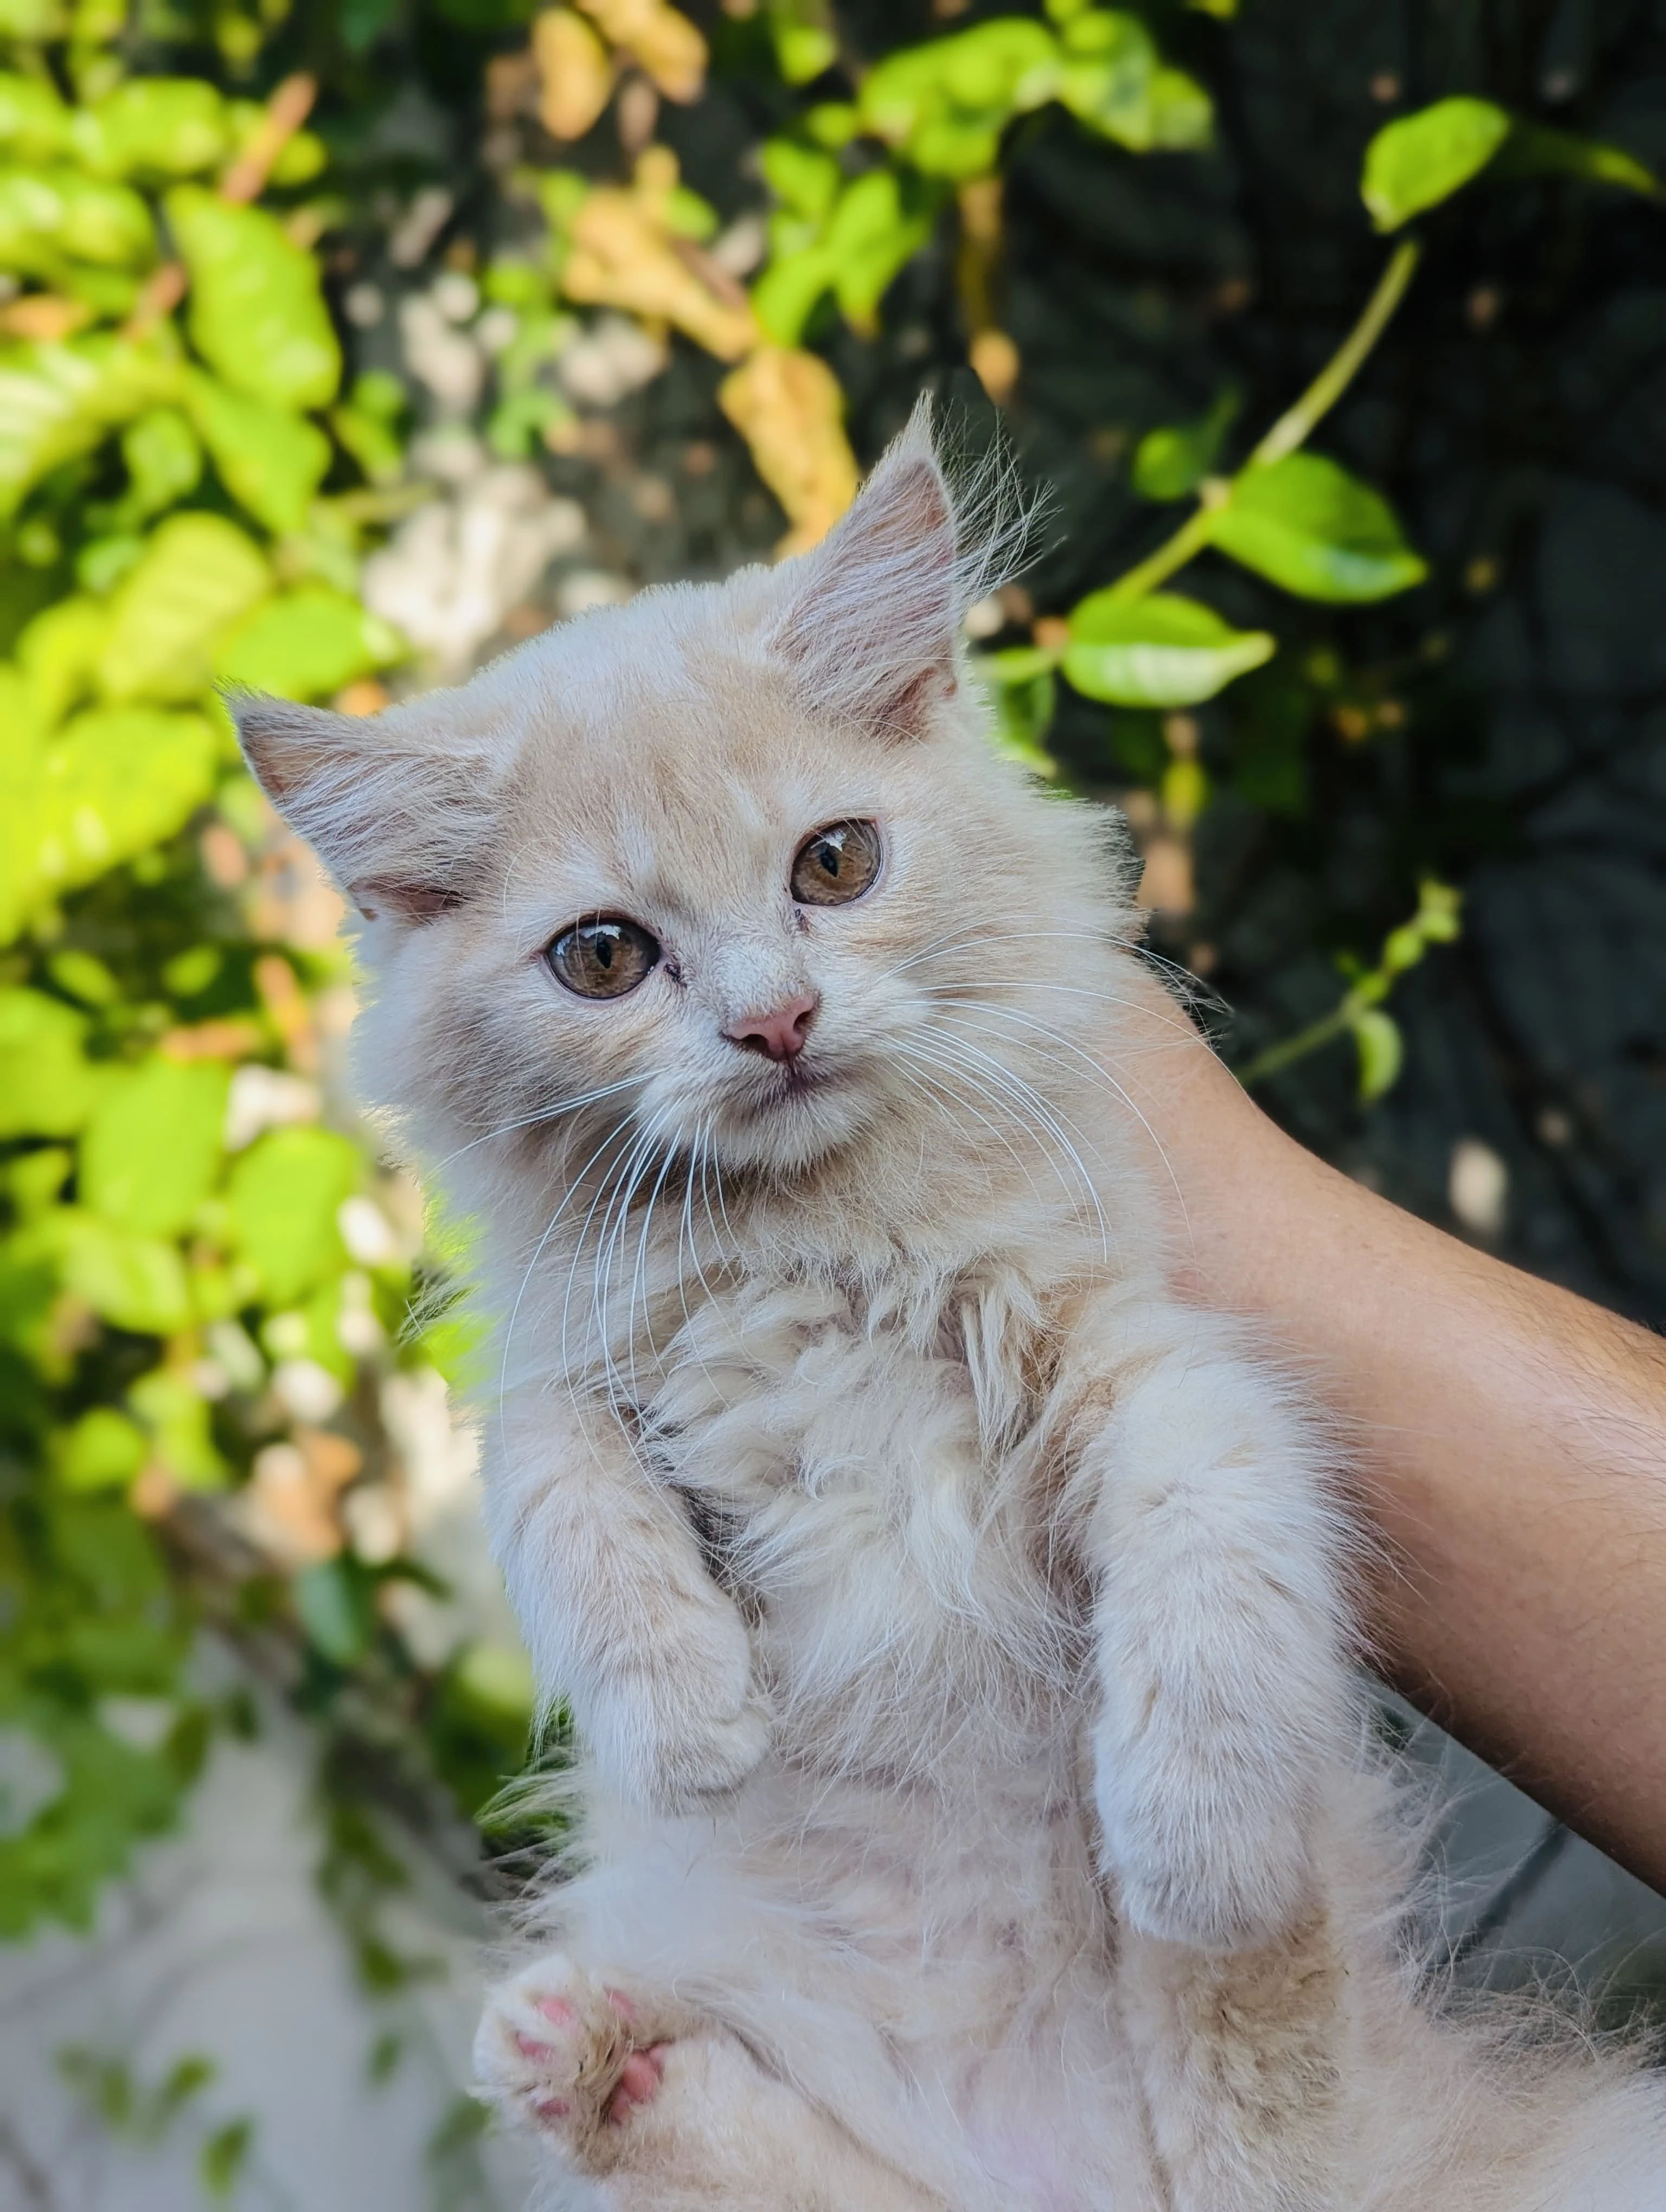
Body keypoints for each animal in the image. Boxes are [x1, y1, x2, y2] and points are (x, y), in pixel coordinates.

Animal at [234, 418, 1663, 2212]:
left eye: (834, 863)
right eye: (603, 956)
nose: (774, 1021)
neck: (806, 1248)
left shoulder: (1144, 1348)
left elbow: (1208, 1549)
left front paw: (1189, 1831)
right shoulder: (563, 1359)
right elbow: (556, 1496)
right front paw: (689, 1727)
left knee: (1276, 2111)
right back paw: (587, 2055)